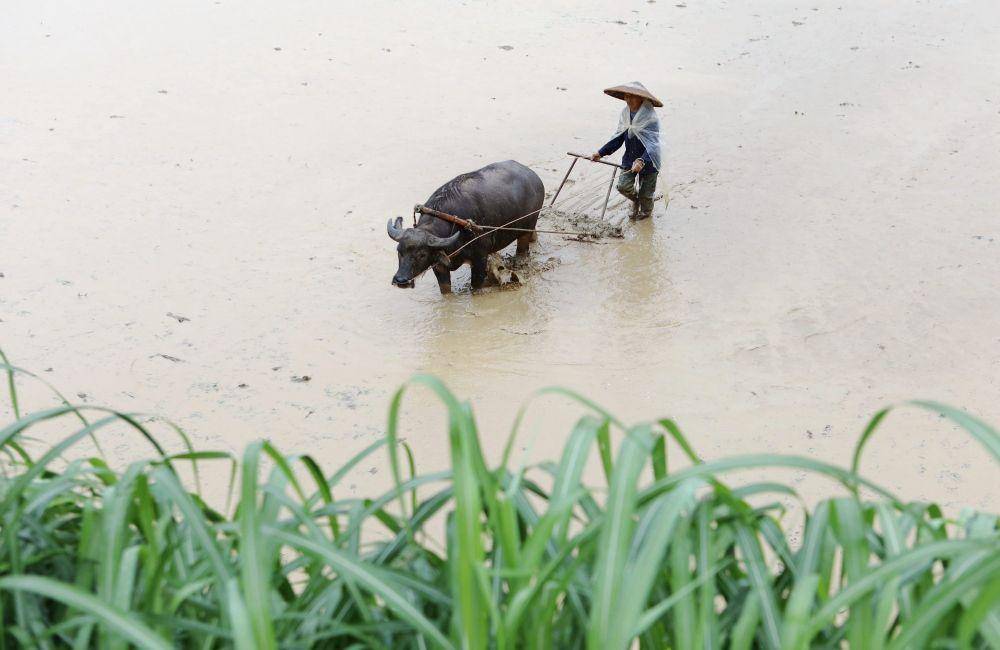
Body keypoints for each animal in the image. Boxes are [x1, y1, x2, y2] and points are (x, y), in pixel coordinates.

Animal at [386, 159, 544, 292]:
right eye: (399, 251)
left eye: (422, 254)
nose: (401, 280)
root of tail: (534, 177)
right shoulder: (439, 266)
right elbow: (445, 289)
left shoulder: (480, 259)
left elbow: (476, 285)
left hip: (526, 227)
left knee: (523, 247)